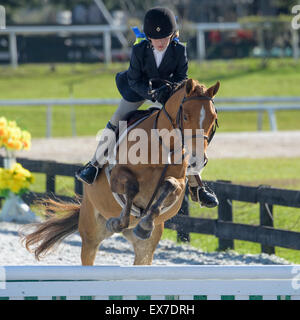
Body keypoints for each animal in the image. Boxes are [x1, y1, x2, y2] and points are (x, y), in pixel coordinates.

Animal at [23, 78, 219, 264]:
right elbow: (131, 187)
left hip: (145, 249)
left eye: (213, 118)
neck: (161, 146)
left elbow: (170, 186)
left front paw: (145, 224)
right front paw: (117, 222)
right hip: (90, 233)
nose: (197, 159)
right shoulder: (118, 175)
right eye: (185, 116)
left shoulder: (178, 185)